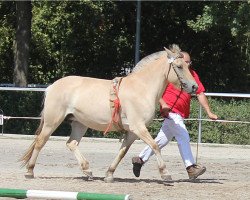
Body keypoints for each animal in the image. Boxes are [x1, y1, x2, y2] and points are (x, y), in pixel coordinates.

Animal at [20, 44, 197, 182]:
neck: (142, 88)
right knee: (40, 141)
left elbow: (123, 152)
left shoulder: (132, 132)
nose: (194, 86)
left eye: (187, 65)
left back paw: (87, 170)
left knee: (71, 143)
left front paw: (109, 174)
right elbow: (155, 146)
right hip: (53, 121)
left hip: (79, 124)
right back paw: (30, 171)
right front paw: (165, 173)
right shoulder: (138, 127)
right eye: (179, 66)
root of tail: (52, 86)